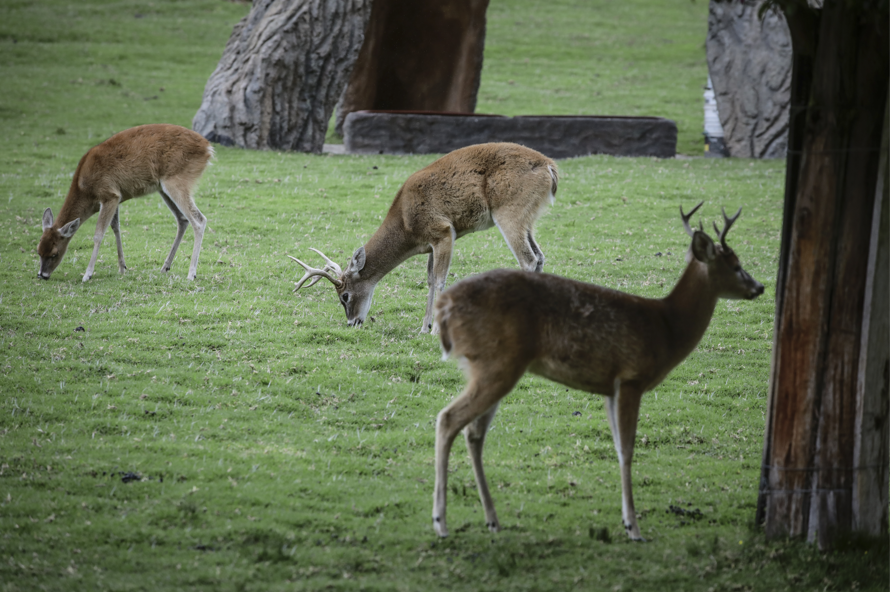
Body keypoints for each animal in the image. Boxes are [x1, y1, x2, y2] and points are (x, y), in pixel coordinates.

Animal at [37, 122, 214, 282]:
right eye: (38, 251)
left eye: (54, 253)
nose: (42, 275)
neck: (84, 188)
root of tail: (208, 148)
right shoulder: (117, 197)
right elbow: (115, 227)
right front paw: (122, 268)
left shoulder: (109, 194)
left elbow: (98, 234)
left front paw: (87, 274)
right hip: (163, 187)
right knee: (182, 219)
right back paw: (165, 267)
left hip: (177, 180)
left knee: (199, 220)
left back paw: (191, 274)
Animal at [290, 141, 556, 330]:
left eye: (344, 296)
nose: (352, 322)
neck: (406, 224)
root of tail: (550, 166)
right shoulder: (432, 243)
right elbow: (429, 279)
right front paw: (424, 327)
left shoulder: (444, 231)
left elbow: (440, 280)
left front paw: (436, 328)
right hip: (528, 218)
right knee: (540, 256)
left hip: (509, 211)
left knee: (529, 260)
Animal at [430, 205, 764, 540]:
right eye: (736, 265)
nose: (759, 287)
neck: (666, 327)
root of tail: (446, 308)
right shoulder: (631, 377)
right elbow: (627, 449)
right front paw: (633, 527)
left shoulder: (609, 388)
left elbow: (617, 447)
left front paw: (627, 520)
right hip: (497, 363)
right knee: (448, 419)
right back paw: (441, 522)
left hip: (495, 366)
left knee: (474, 433)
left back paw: (492, 520)